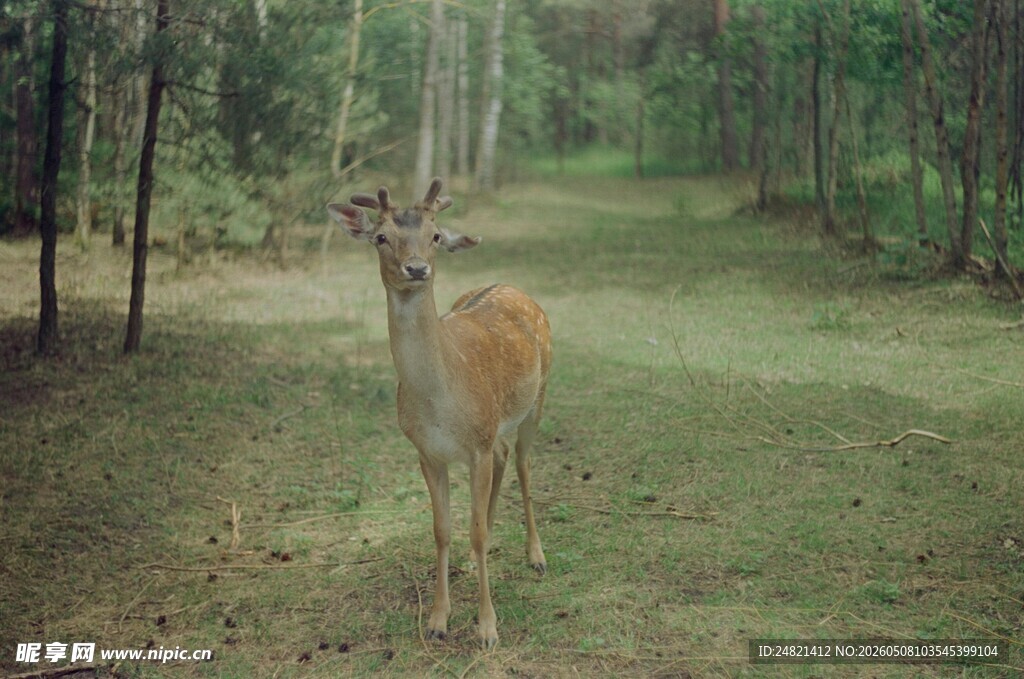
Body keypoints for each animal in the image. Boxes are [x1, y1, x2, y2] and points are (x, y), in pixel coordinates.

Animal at [327, 178, 551, 650]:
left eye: (434, 235)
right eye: (380, 237)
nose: (416, 269)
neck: (439, 403)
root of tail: (511, 285)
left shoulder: (477, 445)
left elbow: (478, 532)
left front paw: (487, 628)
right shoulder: (427, 452)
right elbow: (443, 530)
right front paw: (437, 620)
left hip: (538, 397)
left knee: (523, 463)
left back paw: (536, 556)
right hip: (495, 427)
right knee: (505, 457)